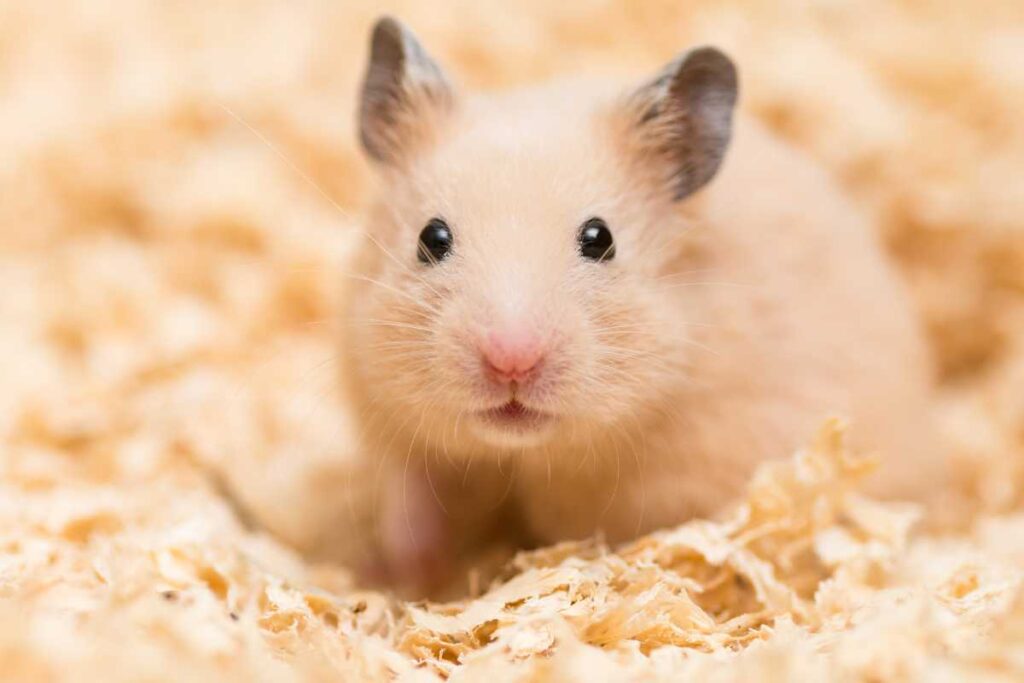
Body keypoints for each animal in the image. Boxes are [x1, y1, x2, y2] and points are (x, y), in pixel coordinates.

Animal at [338, 17, 944, 593]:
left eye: (599, 238)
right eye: (431, 238)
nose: (511, 362)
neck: (528, 453)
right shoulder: (388, 418)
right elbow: (411, 503)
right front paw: (393, 575)